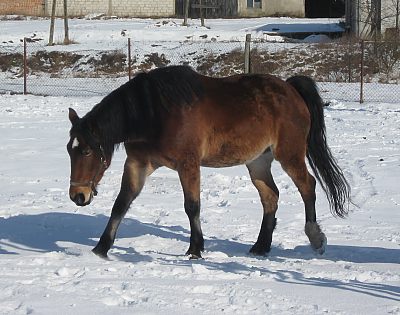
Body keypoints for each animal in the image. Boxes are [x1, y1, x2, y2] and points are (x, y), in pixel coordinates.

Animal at [68, 65, 350, 260]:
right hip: (257, 162)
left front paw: (195, 249)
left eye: (86, 151)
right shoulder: (138, 163)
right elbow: (121, 204)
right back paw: (261, 246)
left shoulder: (188, 164)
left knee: (308, 186)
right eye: (70, 150)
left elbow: (192, 206)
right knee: (271, 196)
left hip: (289, 155)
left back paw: (315, 238)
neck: (154, 113)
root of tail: (291, 89)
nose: (77, 196)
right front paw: (101, 248)